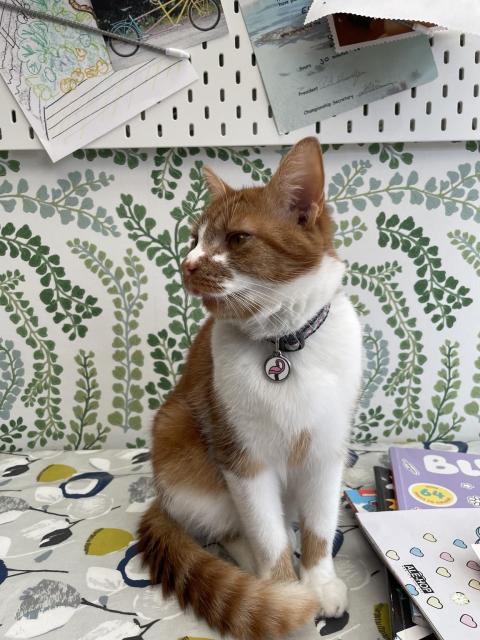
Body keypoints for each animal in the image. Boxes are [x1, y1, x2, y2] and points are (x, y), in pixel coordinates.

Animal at [138, 138, 360, 636]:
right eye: (194, 240)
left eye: (238, 238)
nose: (186, 264)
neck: (286, 344)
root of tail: (161, 500)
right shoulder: (243, 460)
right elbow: (267, 535)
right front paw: (285, 596)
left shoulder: (326, 452)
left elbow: (320, 526)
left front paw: (319, 582)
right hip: (180, 439)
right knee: (231, 530)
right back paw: (252, 570)